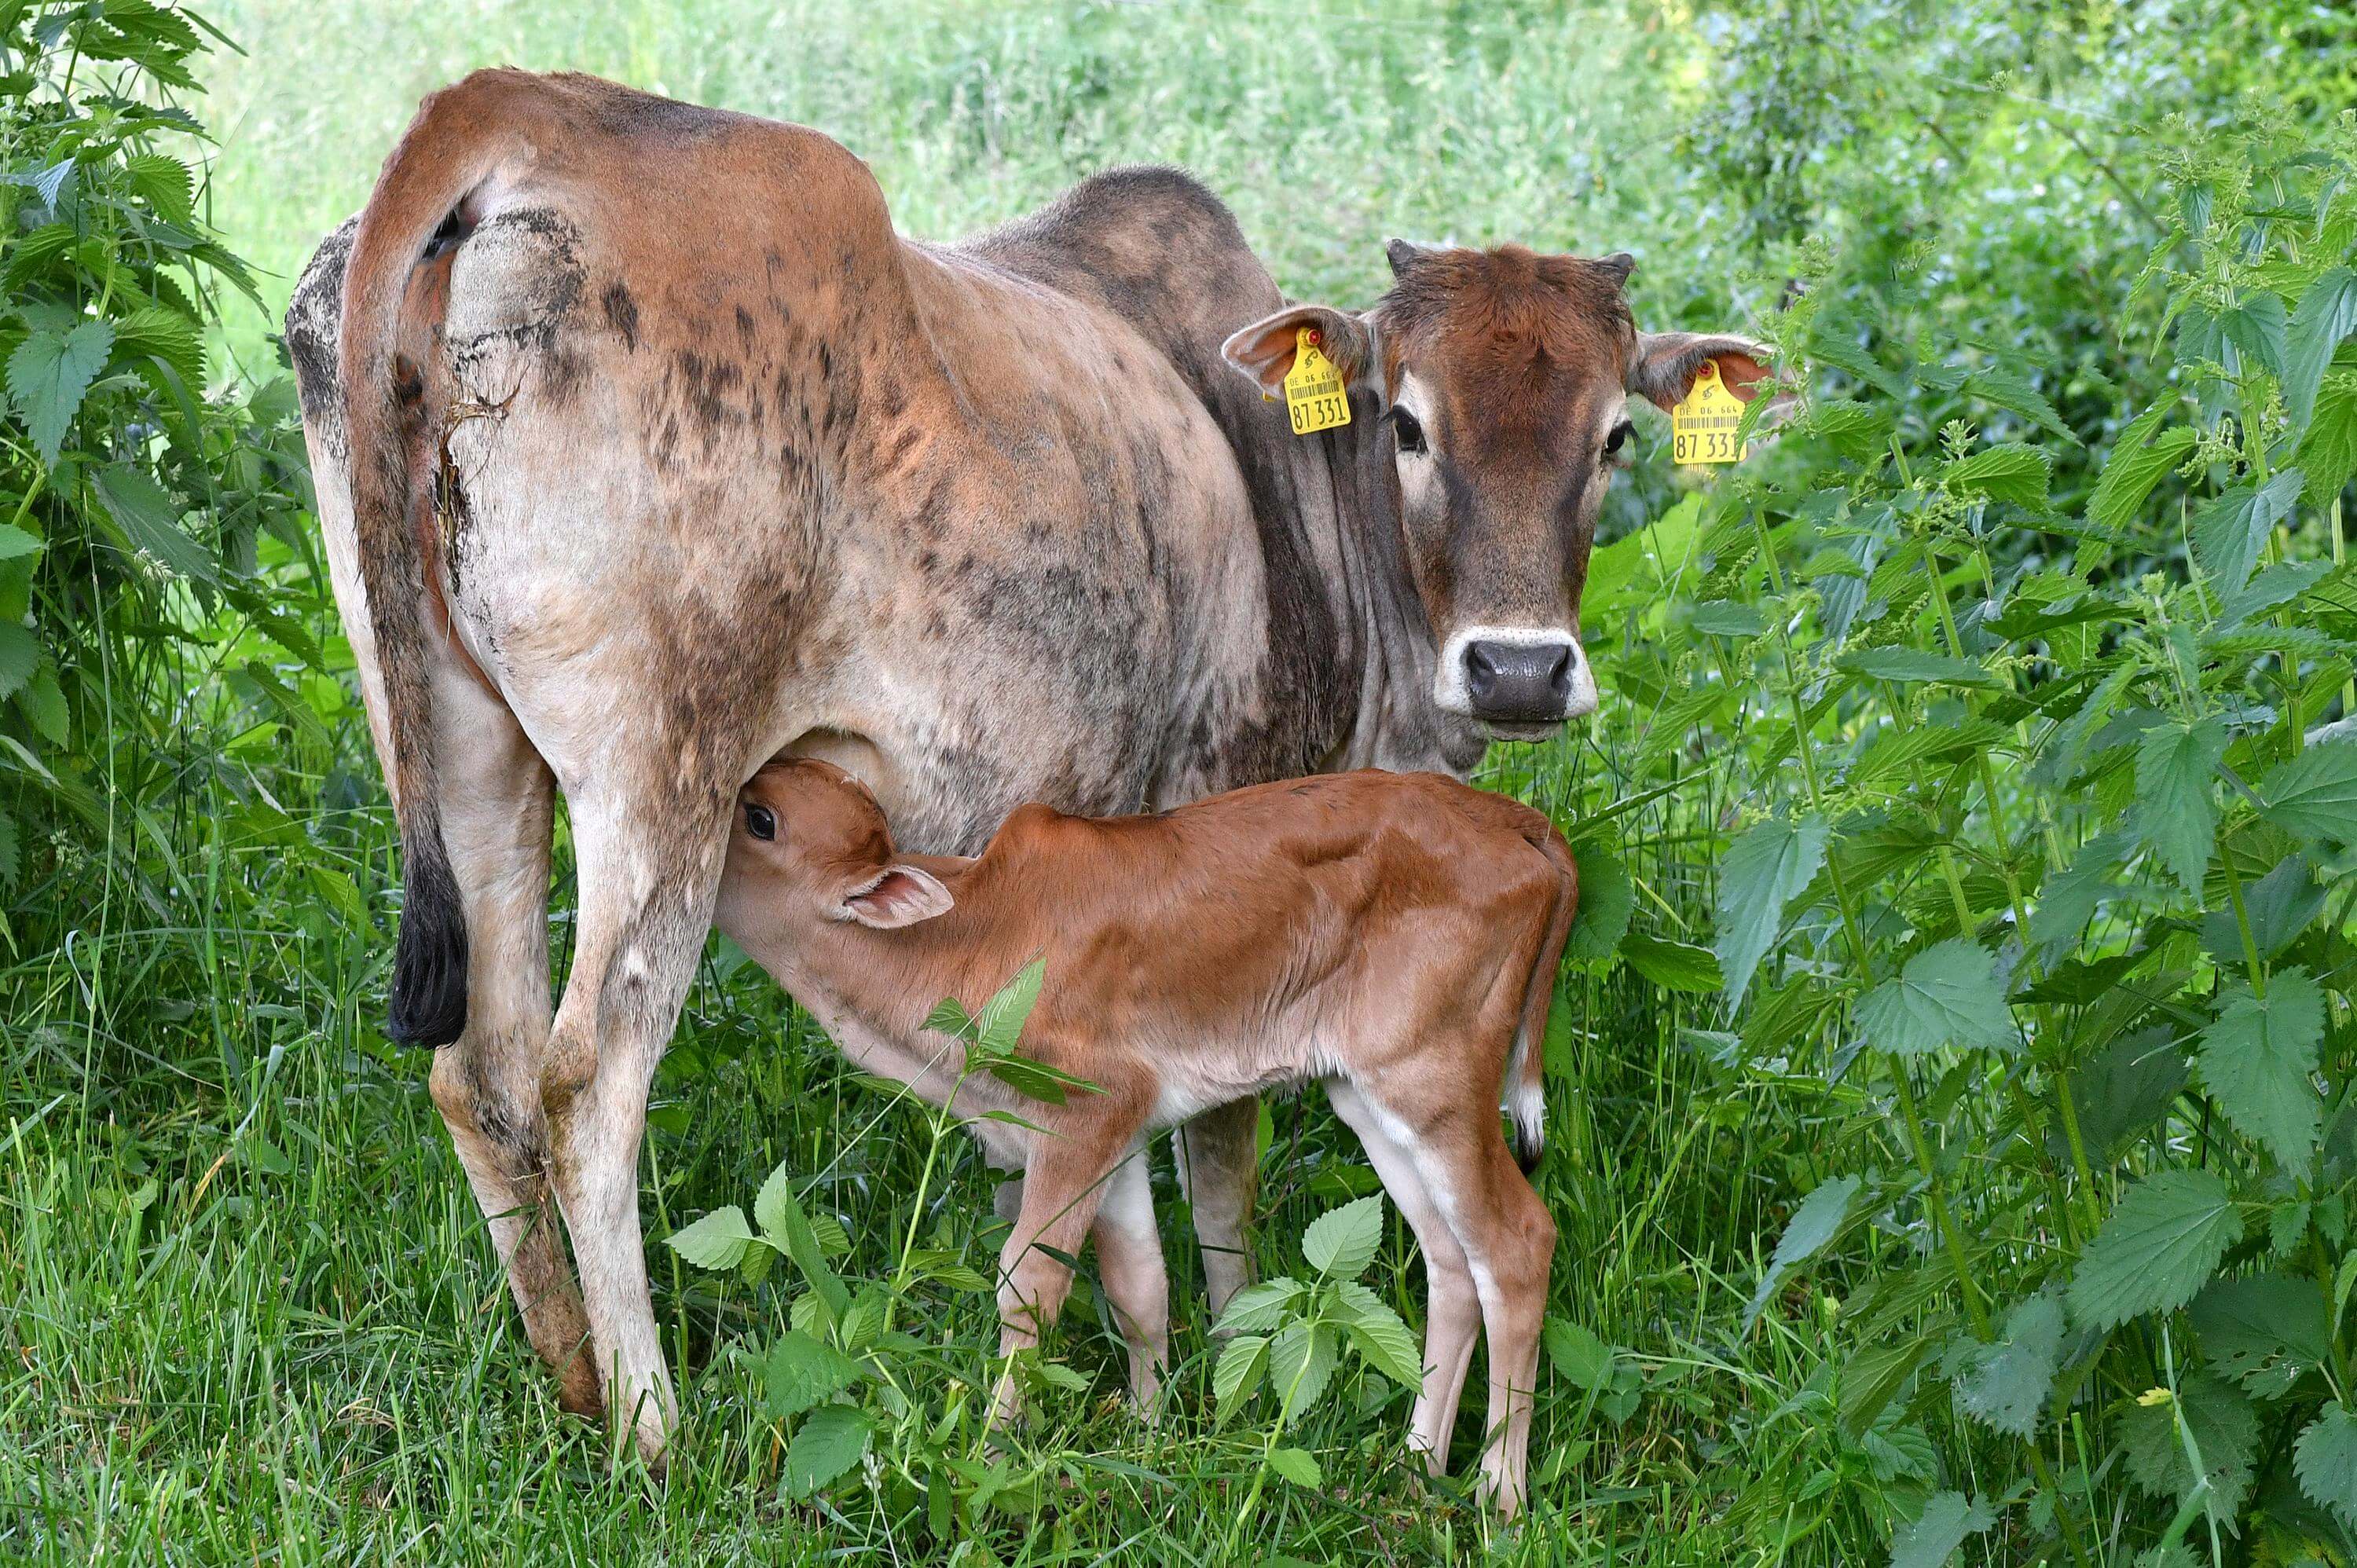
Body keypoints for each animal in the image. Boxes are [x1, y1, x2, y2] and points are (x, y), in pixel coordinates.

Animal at [713, 758, 1577, 1514]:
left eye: (761, 818)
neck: (967, 939)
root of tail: (1517, 821)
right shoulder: (1121, 1132)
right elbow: (1139, 1285)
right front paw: (1147, 1439)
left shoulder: (1083, 1111)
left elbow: (1028, 1283)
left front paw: (990, 1458)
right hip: (1370, 1093)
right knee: (1451, 1260)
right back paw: (1412, 1469)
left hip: (1435, 1076)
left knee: (1516, 1243)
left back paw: (1500, 1496)